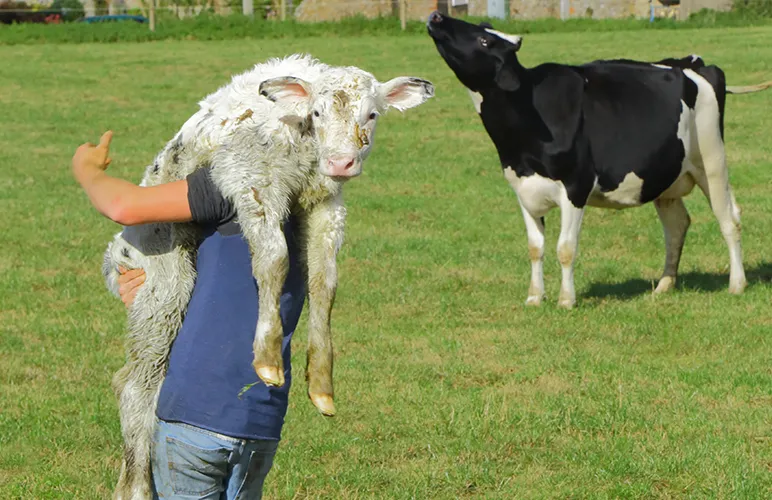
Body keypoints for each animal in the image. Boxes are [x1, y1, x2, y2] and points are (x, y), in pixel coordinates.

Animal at [103, 54, 434, 499]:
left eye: (372, 114)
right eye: (316, 112)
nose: (341, 162)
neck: (305, 151)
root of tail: (117, 254)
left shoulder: (326, 203)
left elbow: (325, 282)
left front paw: (321, 385)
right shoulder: (252, 183)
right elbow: (275, 260)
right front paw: (267, 359)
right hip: (163, 282)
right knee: (136, 387)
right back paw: (135, 486)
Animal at [427, 12, 770, 308]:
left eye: (484, 41)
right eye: (482, 28)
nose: (436, 16)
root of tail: (687, 63)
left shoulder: (575, 186)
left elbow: (565, 249)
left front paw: (566, 300)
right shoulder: (523, 189)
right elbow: (535, 248)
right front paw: (535, 297)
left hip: (711, 162)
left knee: (729, 218)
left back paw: (737, 284)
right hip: (666, 176)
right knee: (677, 225)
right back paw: (664, 285)